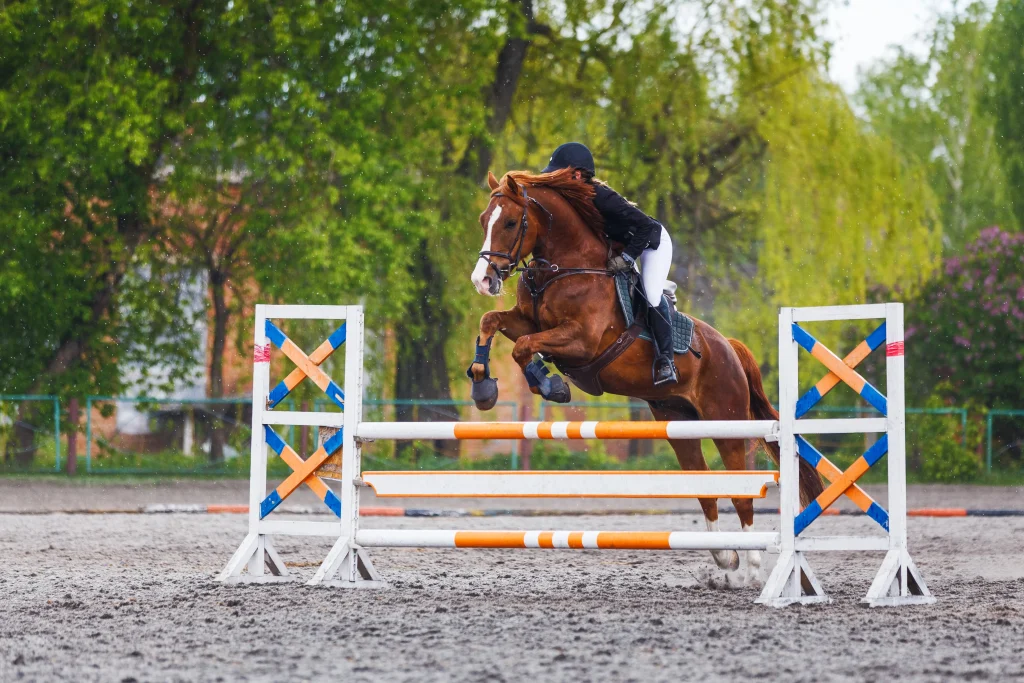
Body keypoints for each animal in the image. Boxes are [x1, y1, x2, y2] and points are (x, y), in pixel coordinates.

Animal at [464, 167, 823, 585]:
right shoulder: (526, 321)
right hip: (677, 422)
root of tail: (730, 348)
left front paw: (550, 384)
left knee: (740, 490)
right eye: (482, 221)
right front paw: (482, 385)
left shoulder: (582, 341)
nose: (482, 280)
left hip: (727, 423)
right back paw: (723, 557)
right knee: (705, 488)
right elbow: (492, 322)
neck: (564, 266)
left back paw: (747, 567)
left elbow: (524, 348)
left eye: (509, 222)